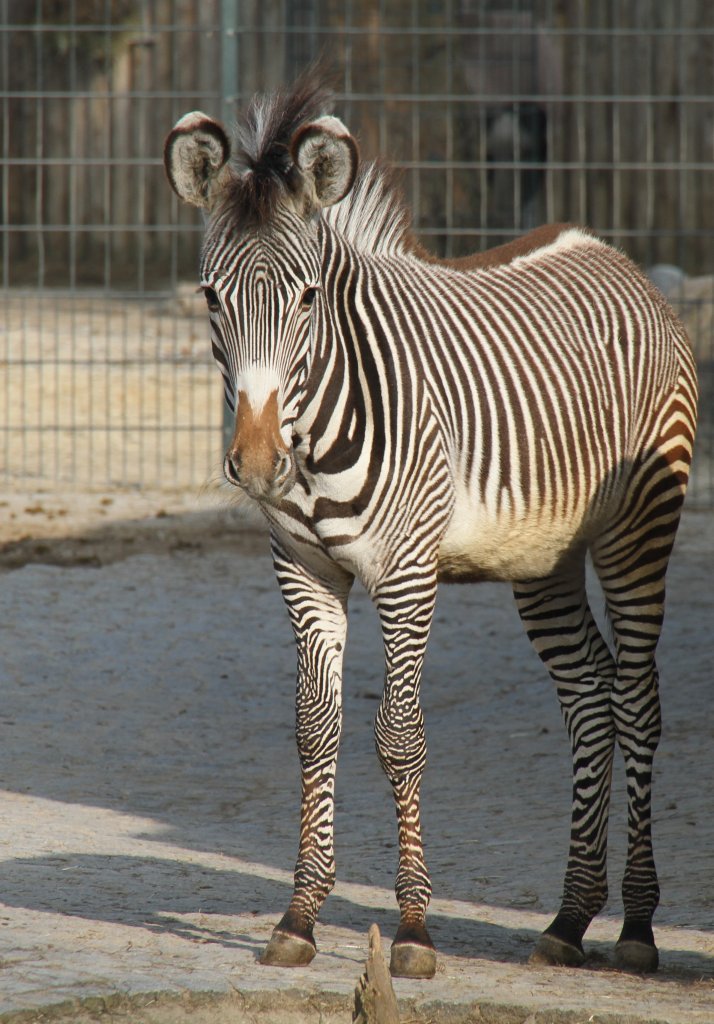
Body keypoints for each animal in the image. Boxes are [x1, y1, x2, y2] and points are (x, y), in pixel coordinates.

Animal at [162, 75, 696, 978]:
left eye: (308, 298)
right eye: (212, 297)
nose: (260, 463)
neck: (319, 427)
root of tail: (609, 252)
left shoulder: (407, 574)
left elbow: (399, 735)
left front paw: (413, 928)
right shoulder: (304, 570)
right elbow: (316, 731)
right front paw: (300, 915)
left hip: (638, 532)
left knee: (636, 697)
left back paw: (636, 927)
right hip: (543, 559)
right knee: (589, 693)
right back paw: (569, 919)